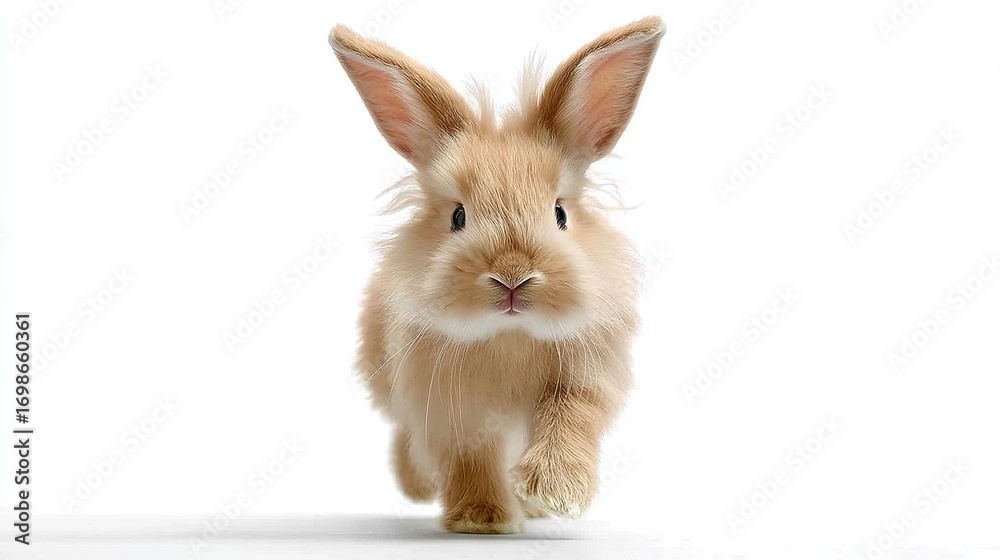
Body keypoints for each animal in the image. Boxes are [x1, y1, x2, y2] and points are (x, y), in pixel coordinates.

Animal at [328, 16, 664, 534]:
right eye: (458, 216)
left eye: (560, 213)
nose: (513, 277)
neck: (510, 335)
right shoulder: (450, 409)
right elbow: (469, 457)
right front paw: (481, 519)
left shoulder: (584, 378)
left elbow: (569, 419)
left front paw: (554, 494)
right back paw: (419, 486)